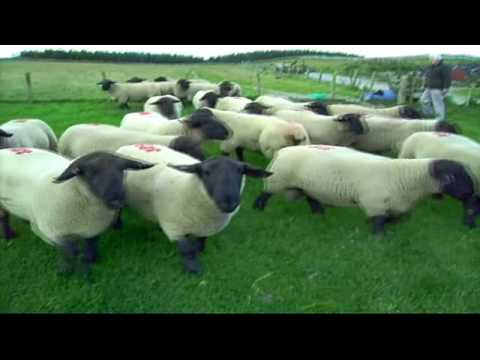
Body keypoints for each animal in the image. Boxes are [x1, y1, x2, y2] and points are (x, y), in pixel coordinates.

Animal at [0, 149, 153, 276]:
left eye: (122, 170)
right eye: (90, 173)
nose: (117, 201)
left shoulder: (94, 229)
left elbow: (91, 245)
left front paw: (92, 260)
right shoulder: (56, 233)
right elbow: (70, 251)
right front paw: (66, 271)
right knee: (4, 217)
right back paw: (9, 236)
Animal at [115, 145, 272, 274]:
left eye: (240, 172)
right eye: (206, 172)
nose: (229, 202)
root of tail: (129, 145)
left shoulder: (206, 227)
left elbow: (201, 242)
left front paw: (199, 251)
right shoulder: (175, 227)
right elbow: (187, 251)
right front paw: (193, 270)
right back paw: (118, 225)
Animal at [253, 145, 474, 235]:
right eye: (457, 178)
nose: (471, 194)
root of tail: (282, 151)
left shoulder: (395, 206)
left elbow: (392, 220)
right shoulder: (374, 202)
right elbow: (378, 222)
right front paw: (379, 238)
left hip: (306, 185)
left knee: (312, 198)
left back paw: (319, 215)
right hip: (277, 179)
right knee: (264, 195)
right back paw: (258, 211)